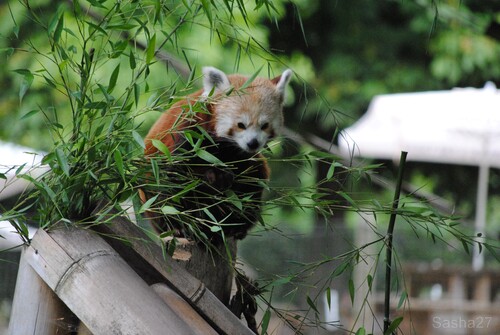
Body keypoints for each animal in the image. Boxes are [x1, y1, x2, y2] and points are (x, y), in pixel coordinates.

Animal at [141, 67, 292, 242]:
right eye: (241, 125)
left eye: (264, 125)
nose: (253, 143)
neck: (227, 147)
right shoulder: (189, 131)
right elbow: (177, 174)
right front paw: (216, 176)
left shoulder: (243, 155)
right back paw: (179, 226)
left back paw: (235, 226)